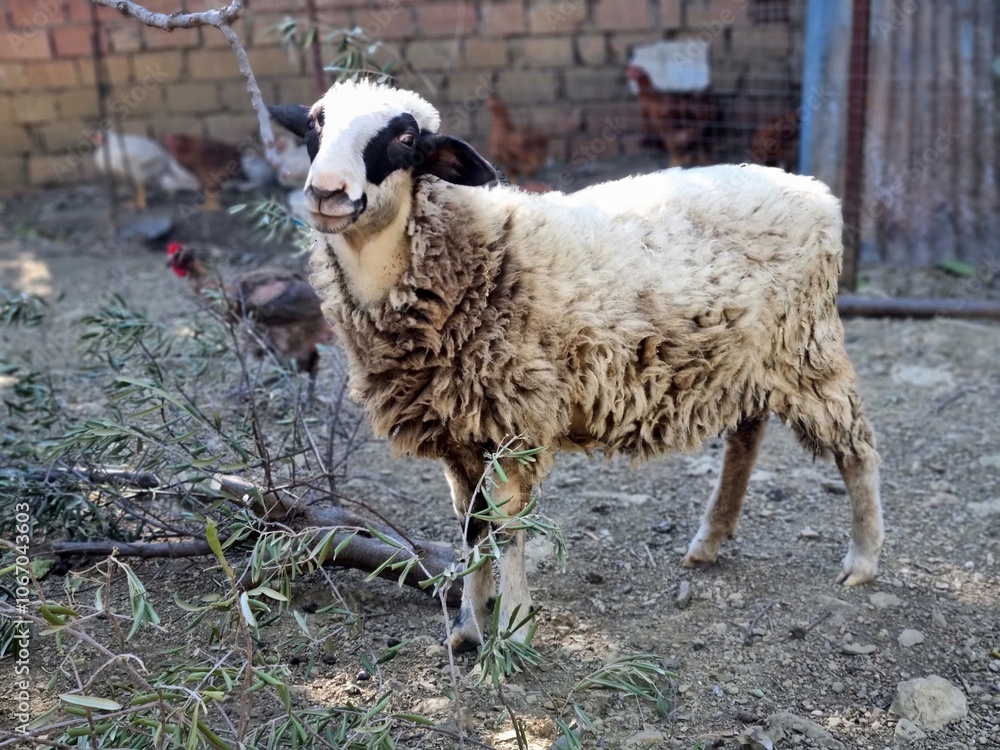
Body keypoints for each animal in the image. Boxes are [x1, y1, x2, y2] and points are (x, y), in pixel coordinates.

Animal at [268, 79, 885, 651]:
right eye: (314, 126)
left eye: (405, 139)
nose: (326, 192)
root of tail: (812, 190)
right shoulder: (458, 431)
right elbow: (471, 530)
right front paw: (468, 627)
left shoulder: (511, 423)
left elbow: (508, 532)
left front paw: (513, 632)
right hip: (745, 355)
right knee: (747, 436)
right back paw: (710, 540)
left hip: (806, 349)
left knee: (856, 448)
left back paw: (862, 558)